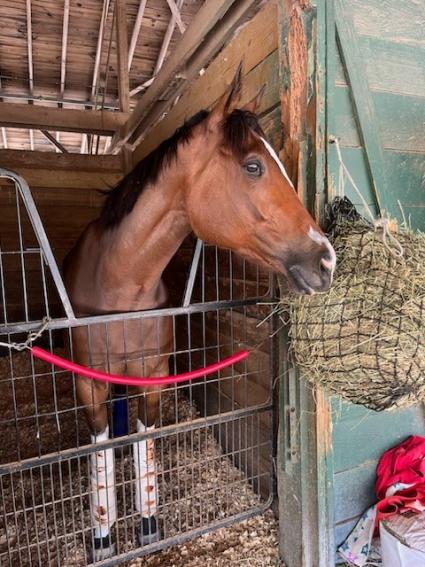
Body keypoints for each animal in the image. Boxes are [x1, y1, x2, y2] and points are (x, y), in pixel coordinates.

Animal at [63, 65, 334, 560]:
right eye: (253, 166)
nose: (326, 260)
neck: (121, 284)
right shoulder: (88, 382)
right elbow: (99, 452)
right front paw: (102, 537)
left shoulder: (152, 374)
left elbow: (144, 443)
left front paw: (148, 526)